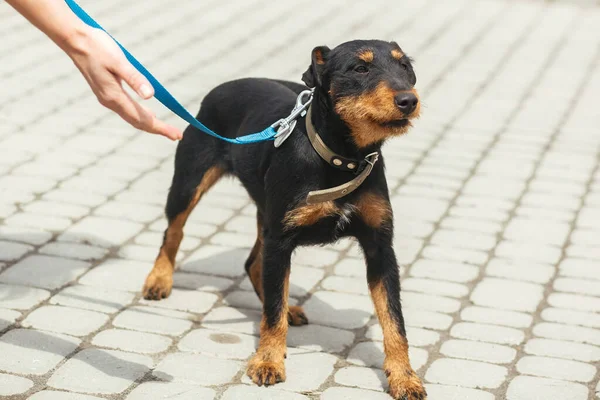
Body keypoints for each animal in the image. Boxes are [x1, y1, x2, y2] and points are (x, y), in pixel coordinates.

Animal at [141, 39, 424, 396]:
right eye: (360, 68)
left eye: (405, 67)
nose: (408, 100)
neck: (342, 158)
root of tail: (224, 87)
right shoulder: (281, 240)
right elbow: (272, 313)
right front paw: (268, 361)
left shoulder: (380, 248)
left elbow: (394, 319)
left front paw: (404, 376)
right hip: (190, 182)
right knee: (174, 231)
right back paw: (159, 279)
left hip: (266, 212)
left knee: (255, 264)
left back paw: (290, 308)